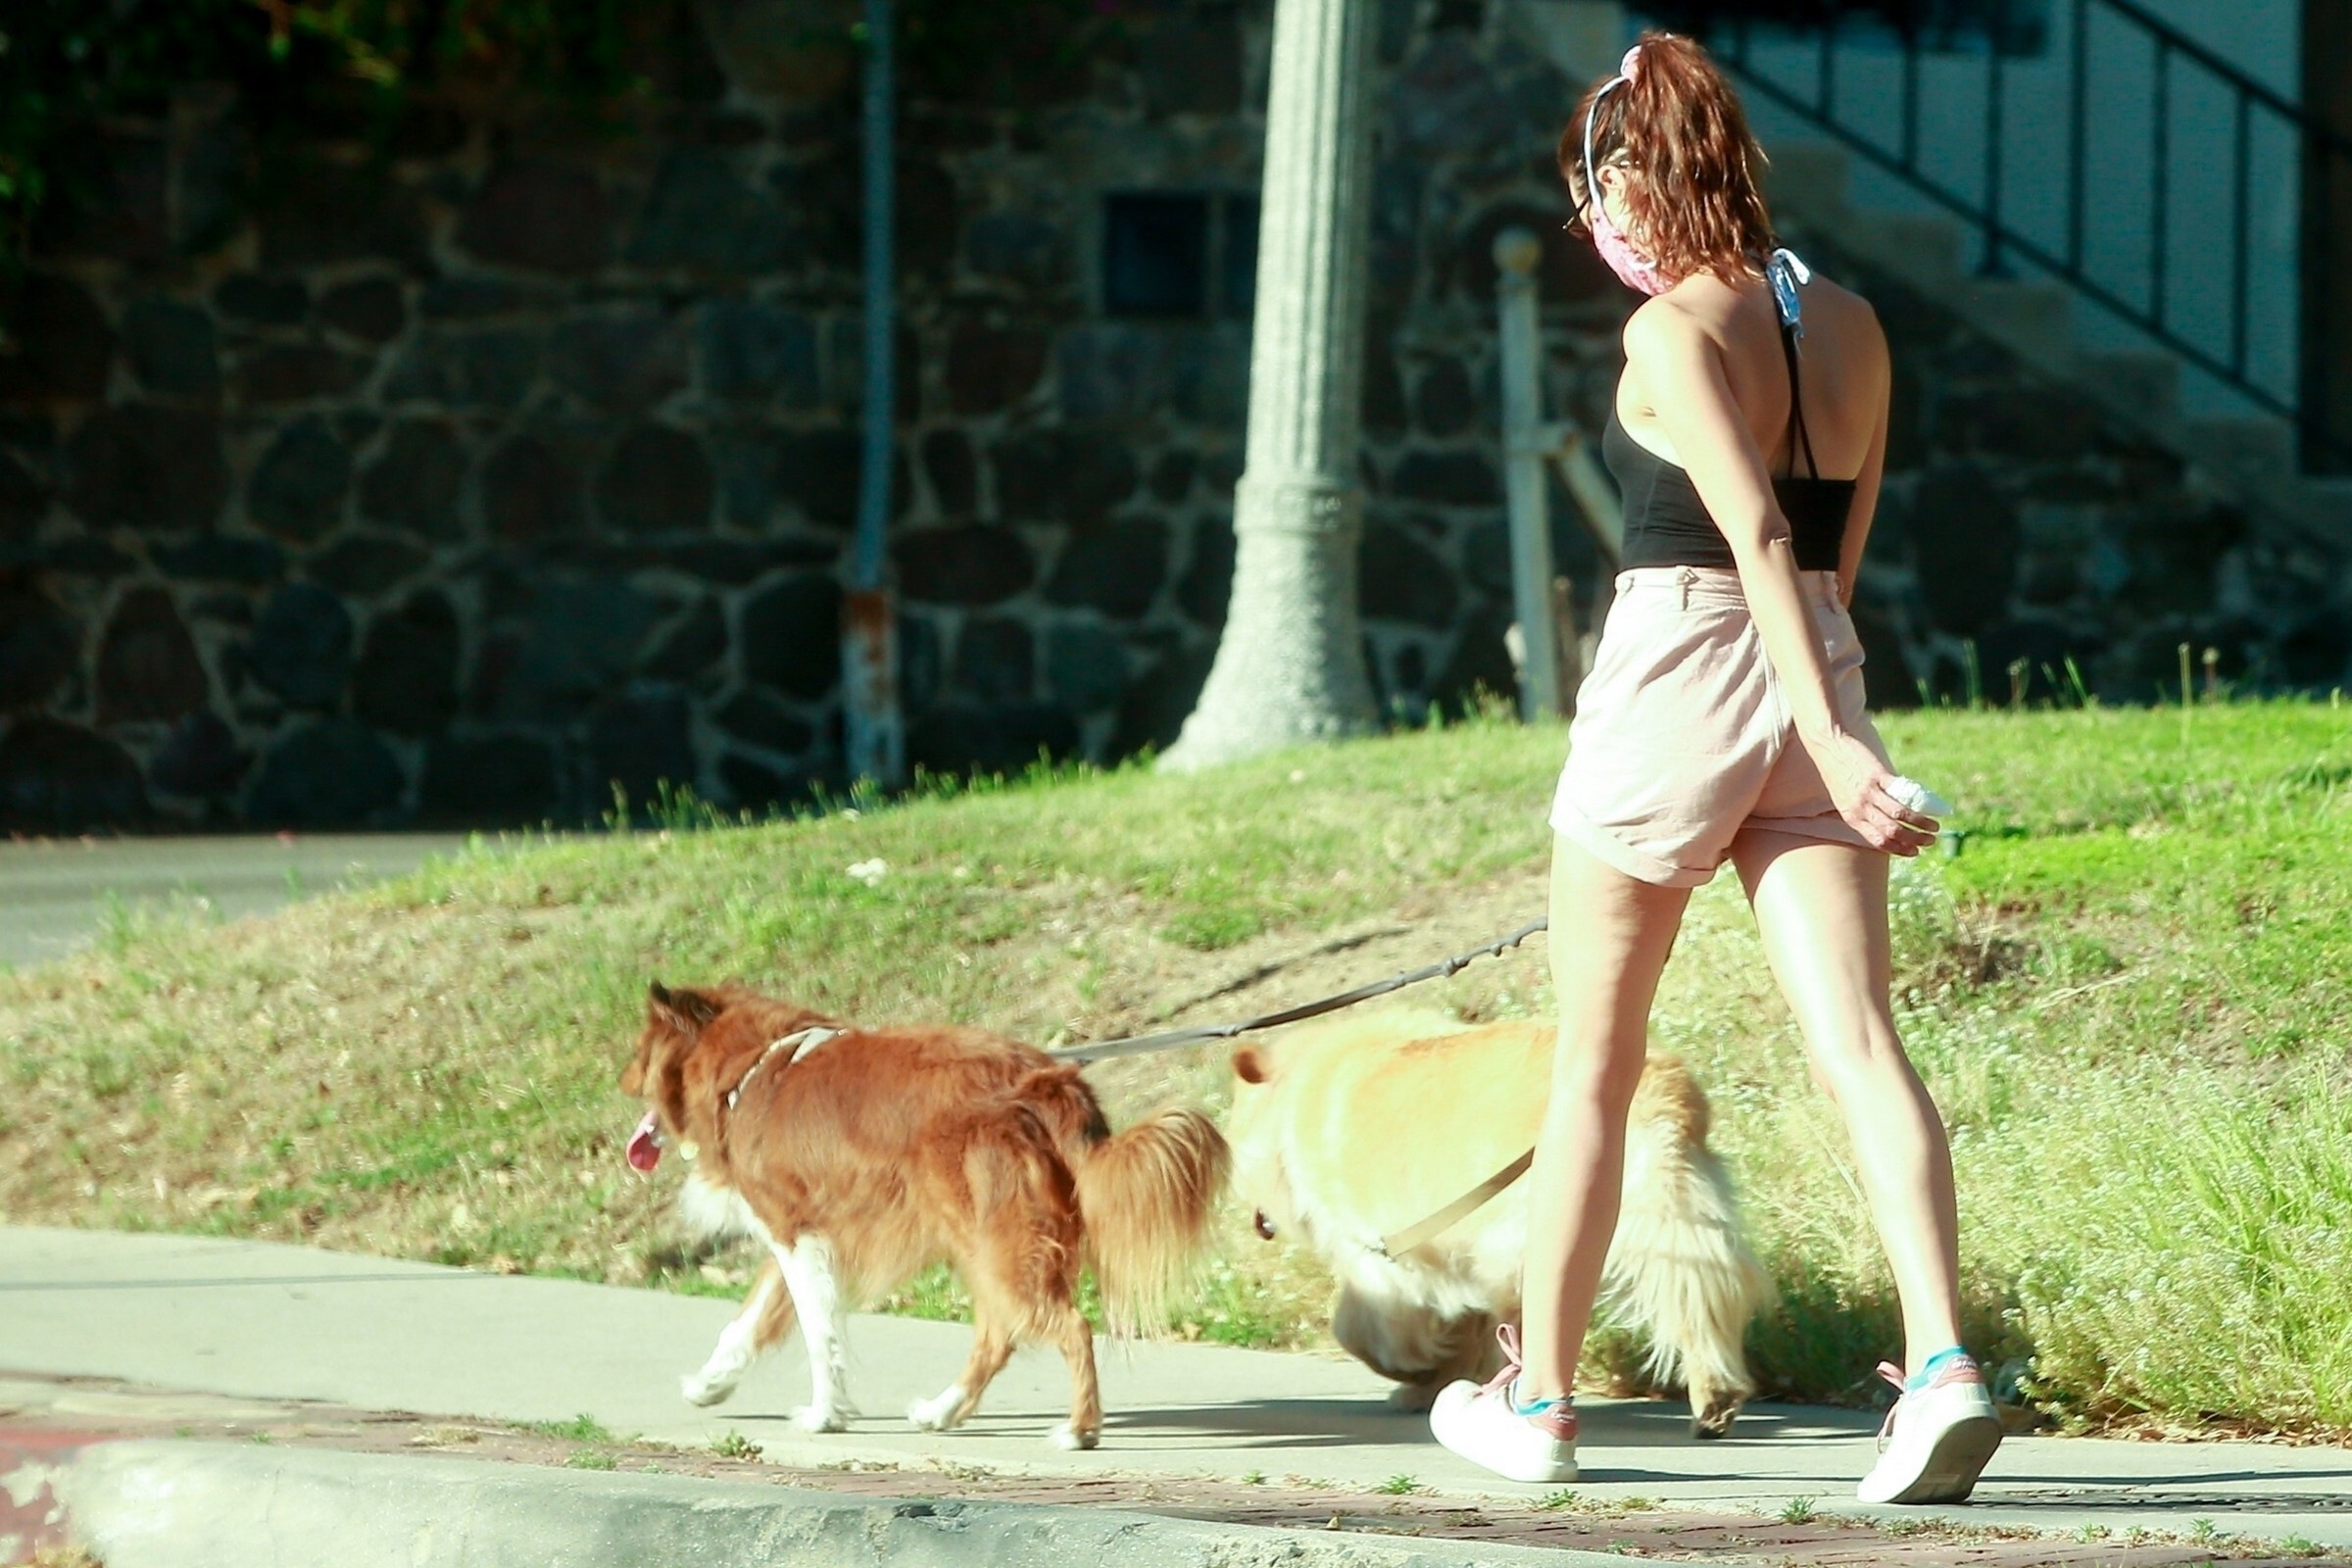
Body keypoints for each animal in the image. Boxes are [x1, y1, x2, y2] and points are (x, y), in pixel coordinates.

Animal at [619, 982, 1229, 1449]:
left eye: (639, 1050)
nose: (621, 1081)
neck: (752, 1064)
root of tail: (1045, 1081)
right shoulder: (803, 1233)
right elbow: (749, 1323)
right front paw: (710, 1384)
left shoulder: (795, 1235)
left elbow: (818, 1335)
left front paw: (823, 1416)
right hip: (987, 1242)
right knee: (1000, 1334)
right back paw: (944, 1410)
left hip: (995, 1242)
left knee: (1069, 1327)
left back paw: (1078, 1430)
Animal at [1226, 1008, 1771, 1435]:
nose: (1254, 1216)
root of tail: (1658, 1091)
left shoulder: (1381, 1253)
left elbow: (1361, 1328)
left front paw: (1417, 1375)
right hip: (1677, 1206)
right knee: (1702, 1292)